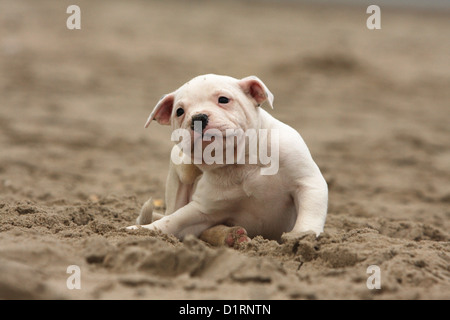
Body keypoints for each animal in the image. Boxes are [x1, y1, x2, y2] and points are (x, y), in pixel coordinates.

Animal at [126, 74, 326, 246]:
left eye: (223, 99)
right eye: (179, 111)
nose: (198, 117)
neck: (241, 161)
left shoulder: (307, 183)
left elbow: (309, 215)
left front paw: (301, 238)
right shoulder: (202, 211)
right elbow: (173, 221)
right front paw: (142, 230)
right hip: (181, 173)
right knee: (175, 212)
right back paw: (230, 235)